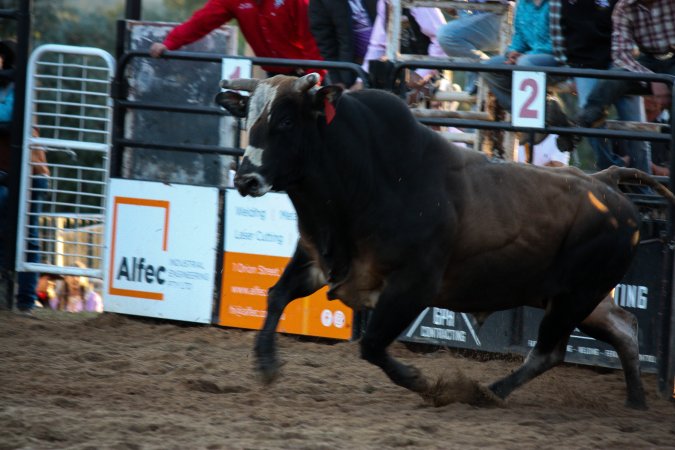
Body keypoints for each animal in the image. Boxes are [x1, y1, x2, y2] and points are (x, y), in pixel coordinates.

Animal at [215, 73, 674, 410]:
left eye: (286, 121)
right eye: (249, 117)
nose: (246, 178)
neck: (369, 177)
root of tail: (606, 182)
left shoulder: (412, 286)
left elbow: (372, 344)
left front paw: (422, 382)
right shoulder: (320, 258)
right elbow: (276, 295)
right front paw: (266, 363)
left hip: (574, 297)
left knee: (550, 352)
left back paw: (489, 392)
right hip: (580, 299)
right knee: (623, 329)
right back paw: (635, 401)